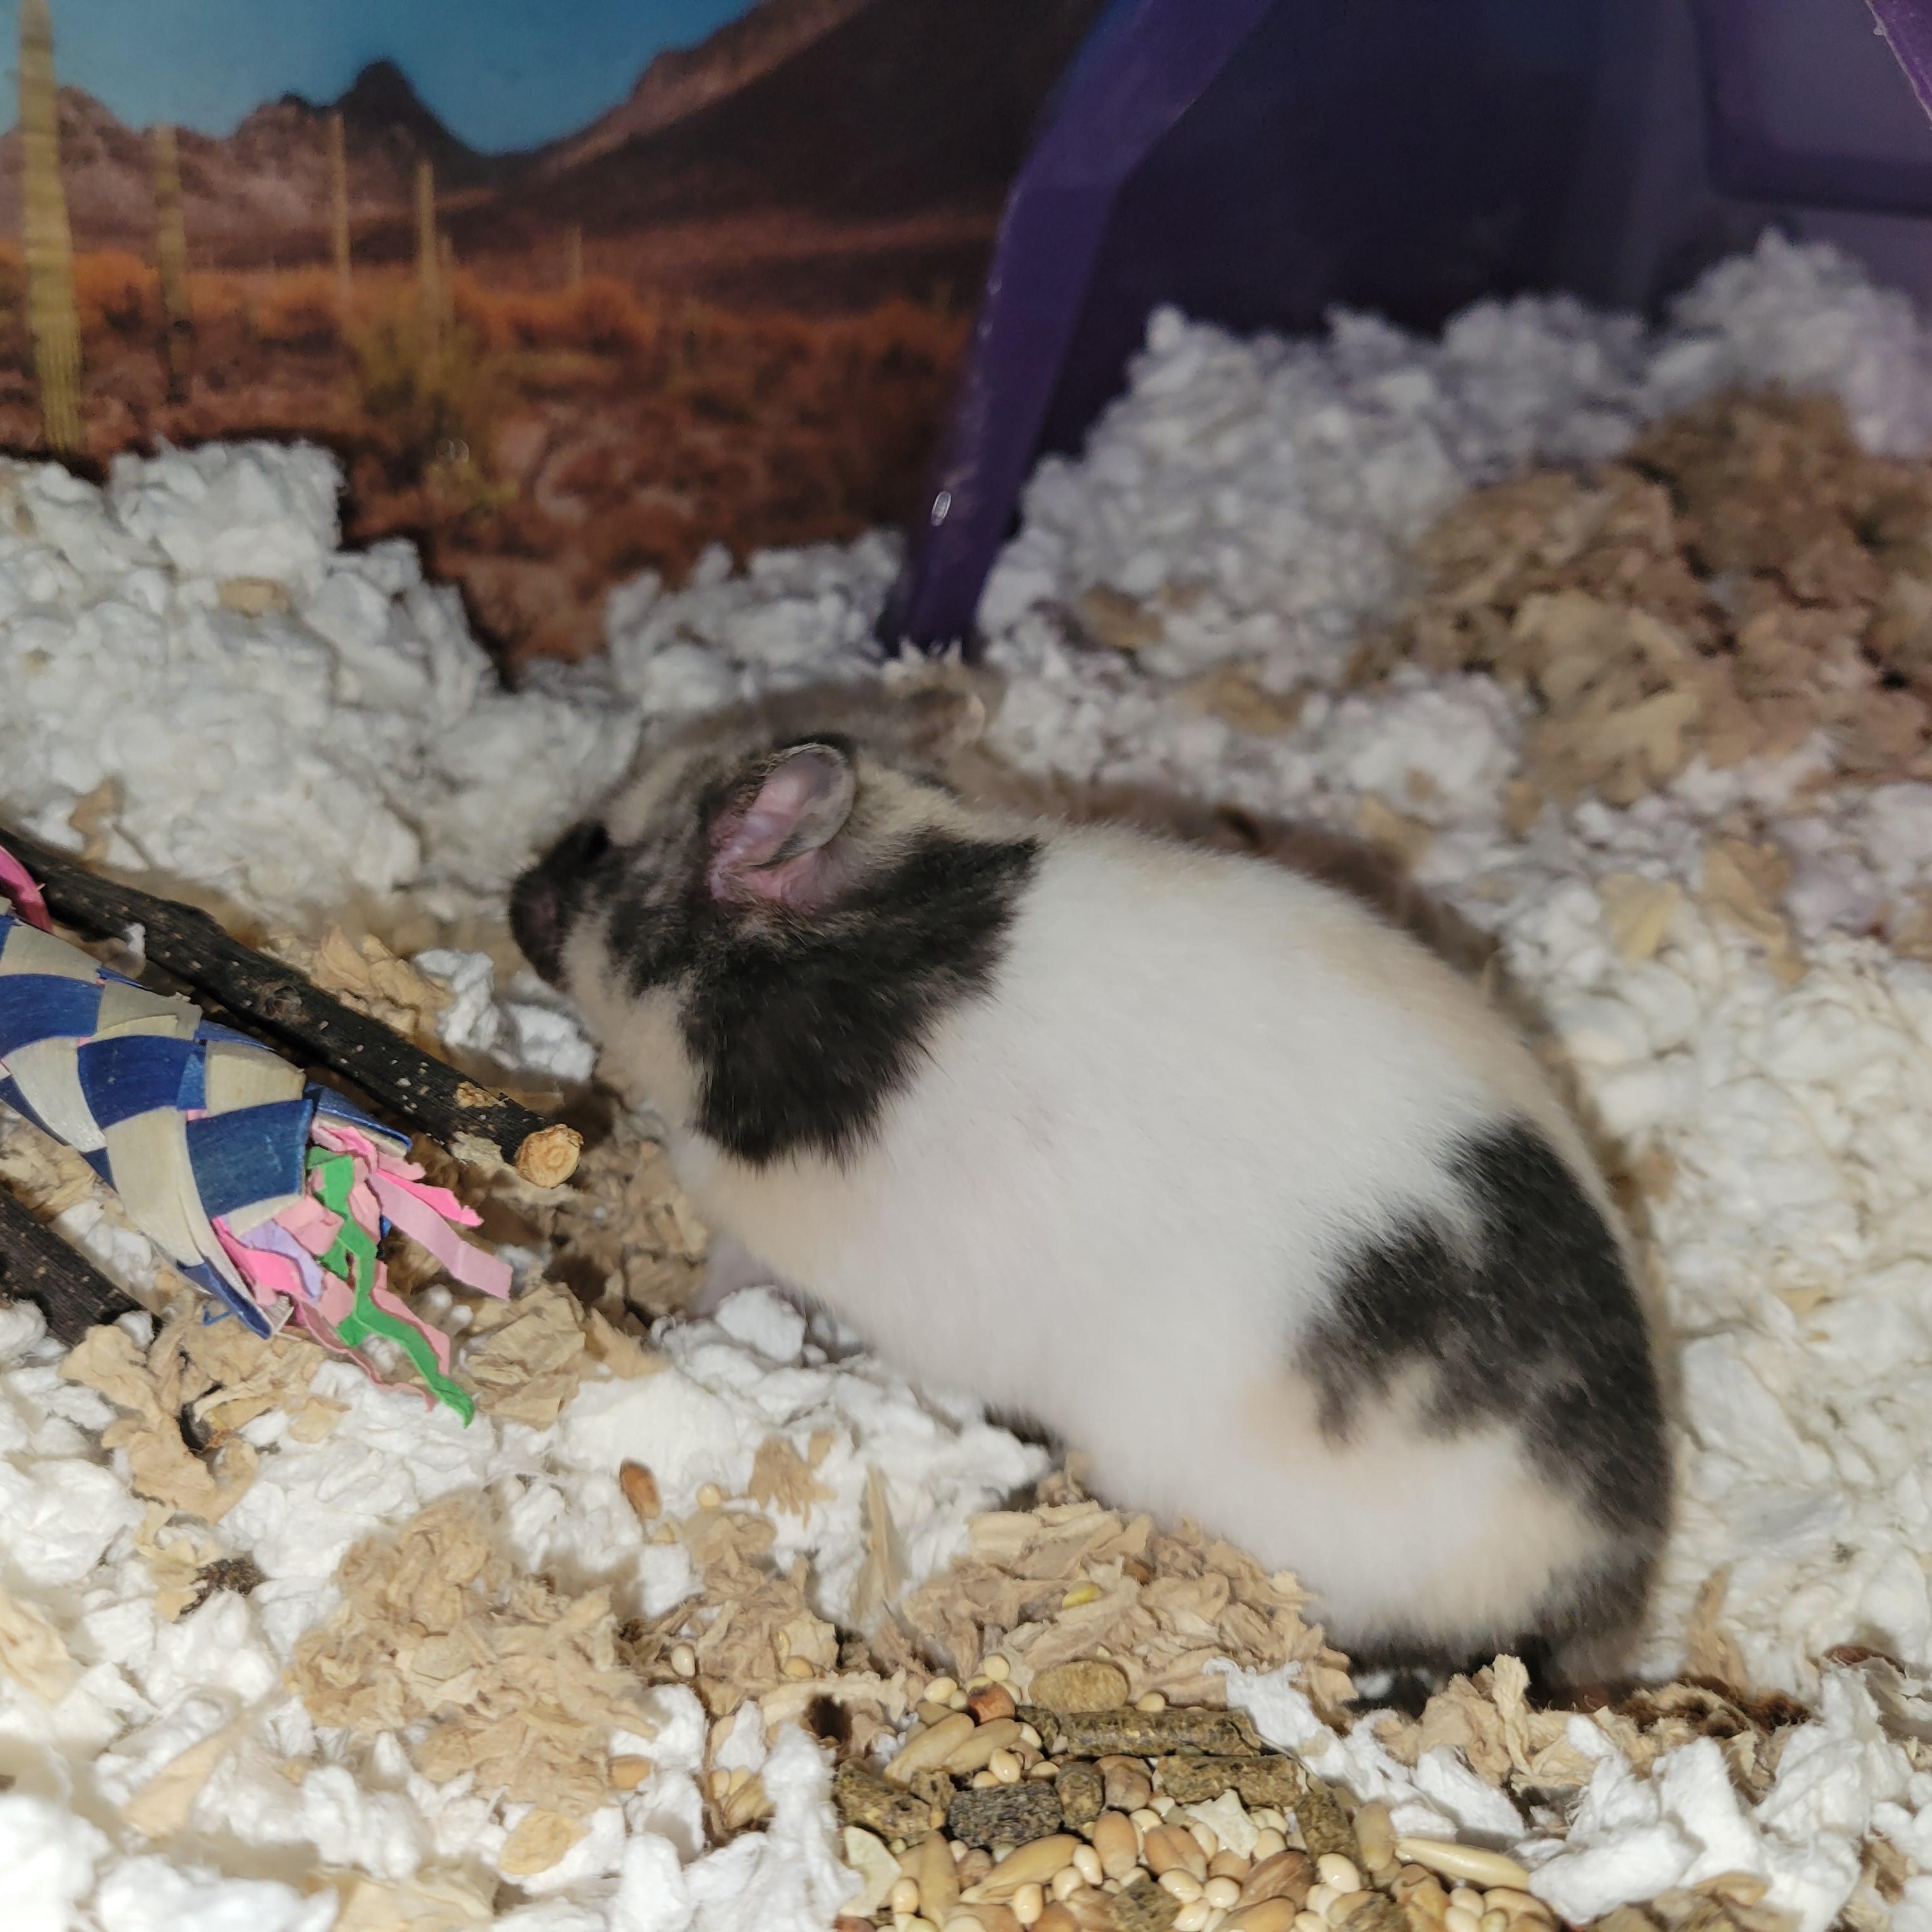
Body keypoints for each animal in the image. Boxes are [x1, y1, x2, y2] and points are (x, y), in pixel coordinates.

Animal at [511, 685, 1671, 1680]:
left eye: (595, 846)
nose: (516, 896)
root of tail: (1609, 1579)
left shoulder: (764, 1228)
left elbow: (727, 1281)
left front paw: (686, 1336)